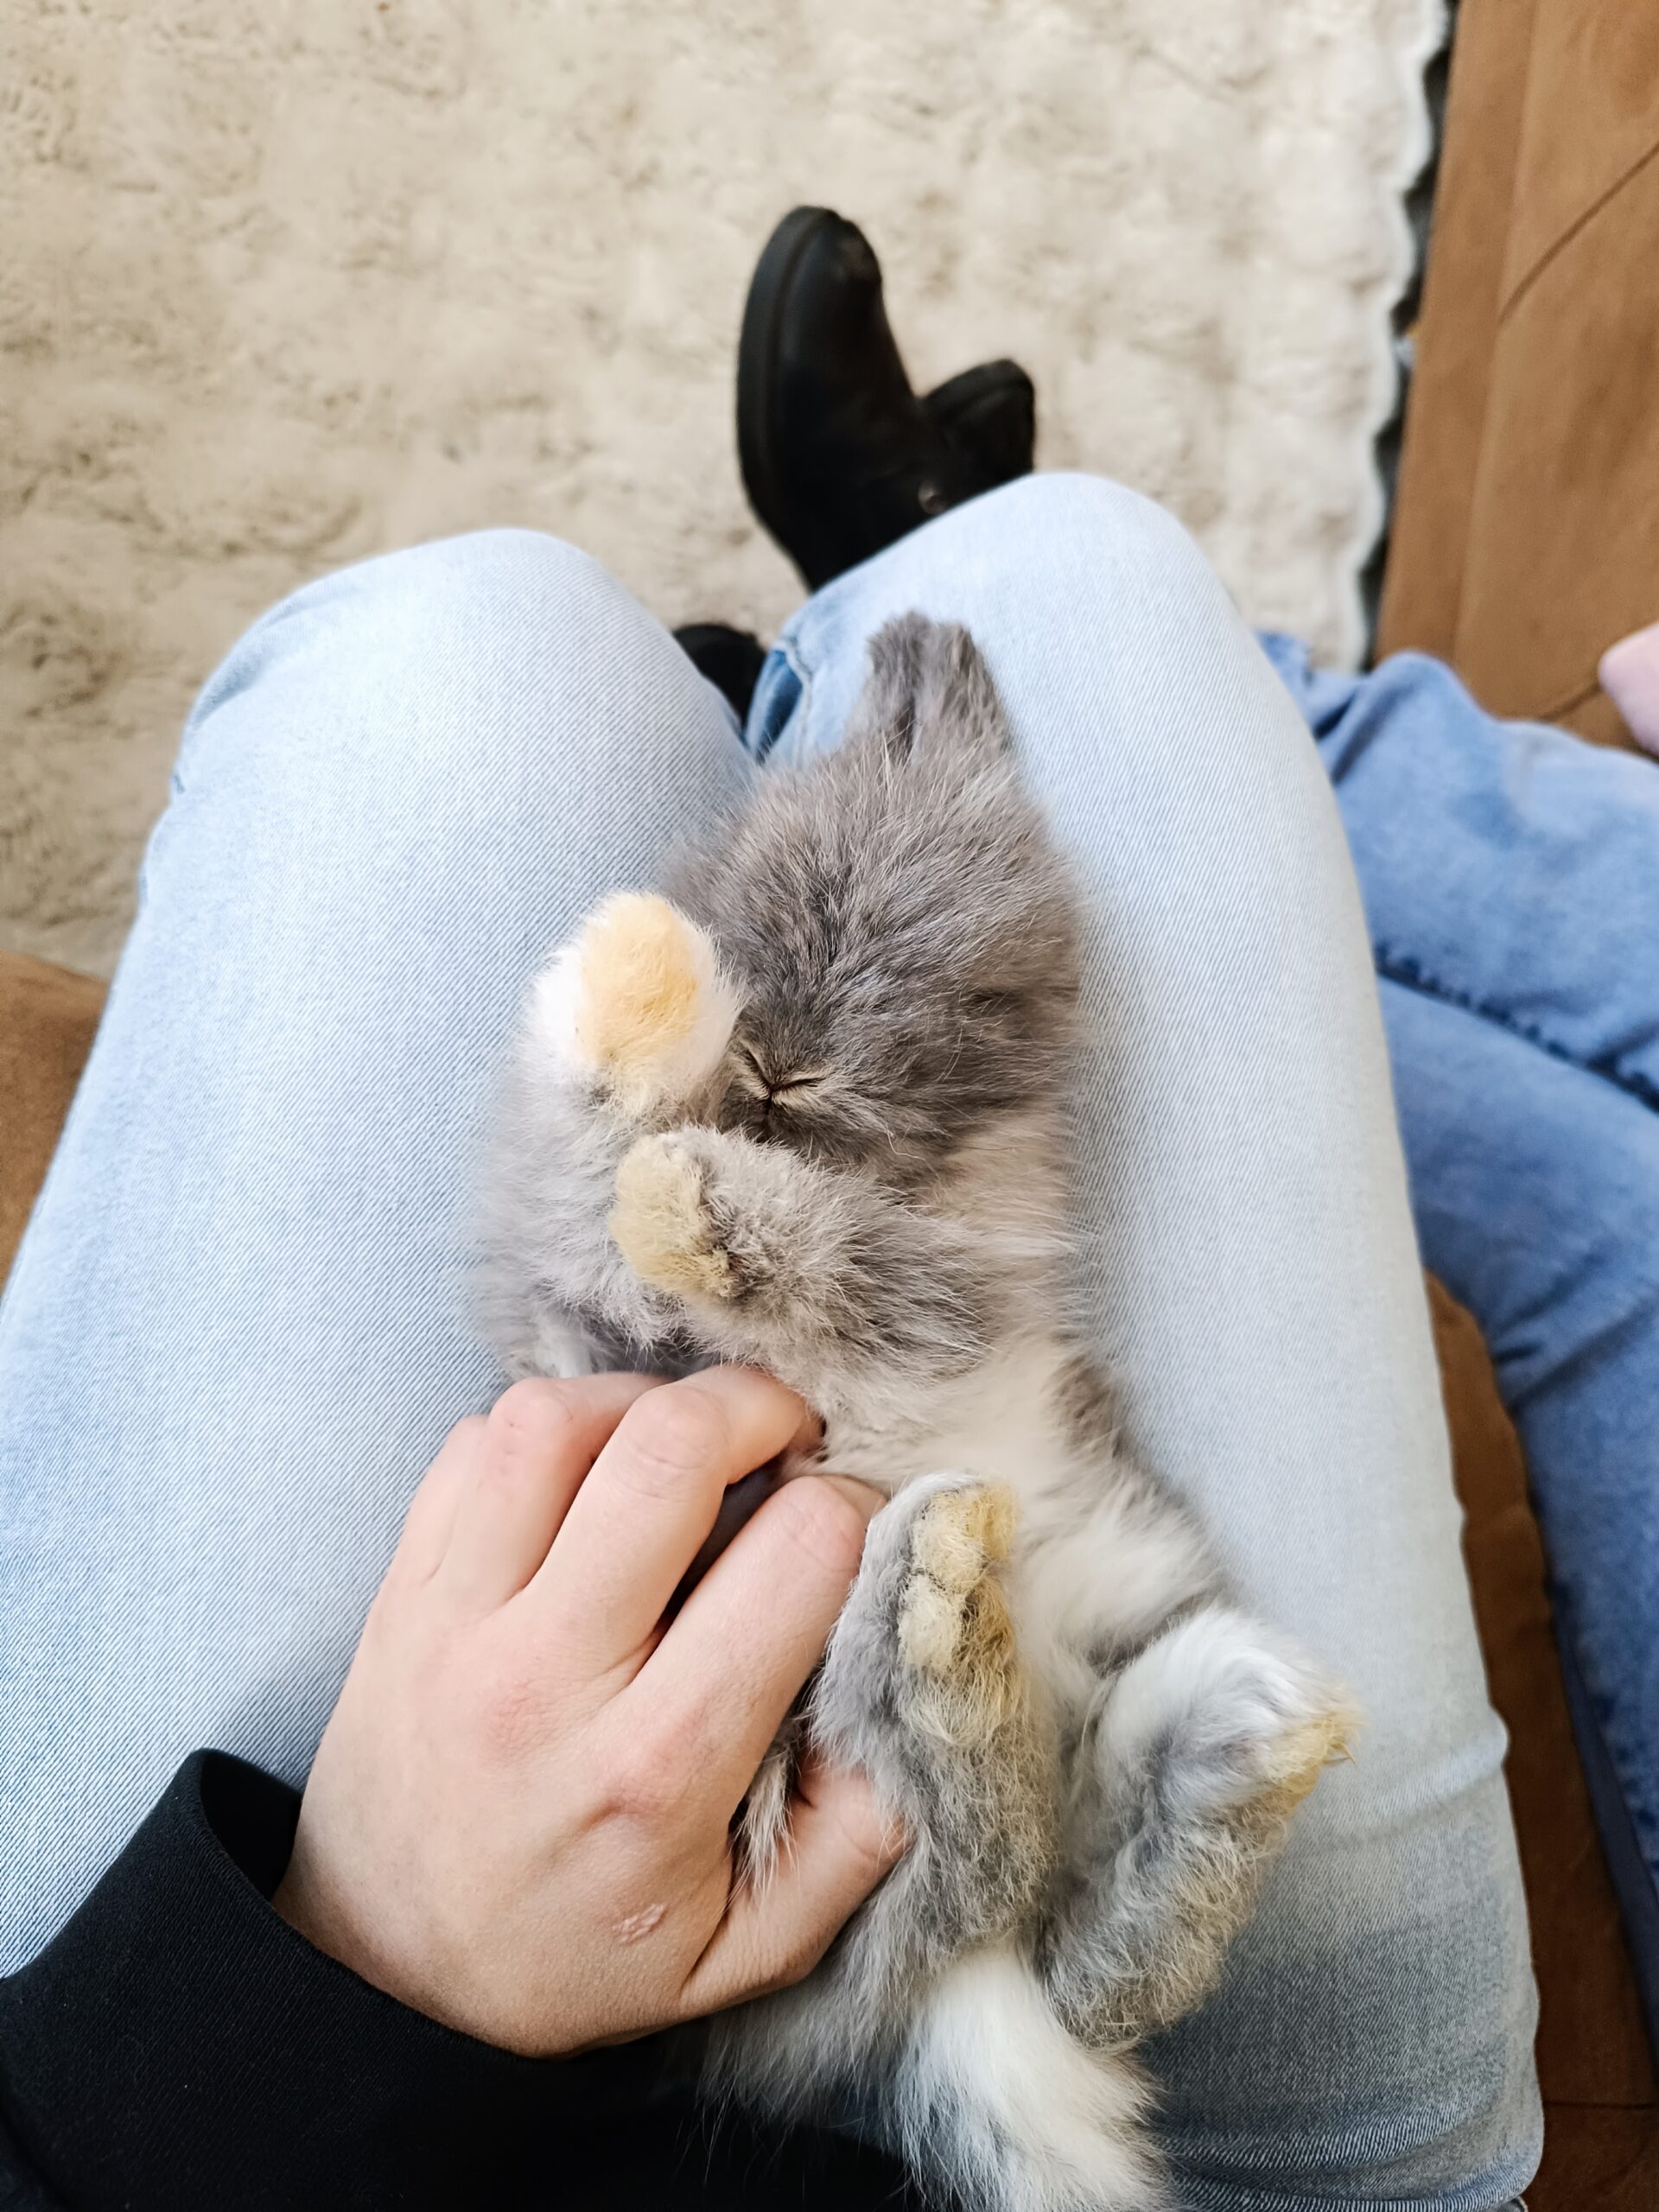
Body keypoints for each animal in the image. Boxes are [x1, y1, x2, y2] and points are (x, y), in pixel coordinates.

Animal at [474, 613, 1355, 2211]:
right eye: (757, 896)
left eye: (975, 998)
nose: (783, 1060)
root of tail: (953, 2015)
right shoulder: (602, 1314)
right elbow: (599, 1135)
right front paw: (643, 978)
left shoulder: (953, 1287)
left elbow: (825, 1251)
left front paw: (687, 1191)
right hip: (856, 1763)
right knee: (994, 1882)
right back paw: (967, 1624)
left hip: (1129, 1635)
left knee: (1028, 1887)